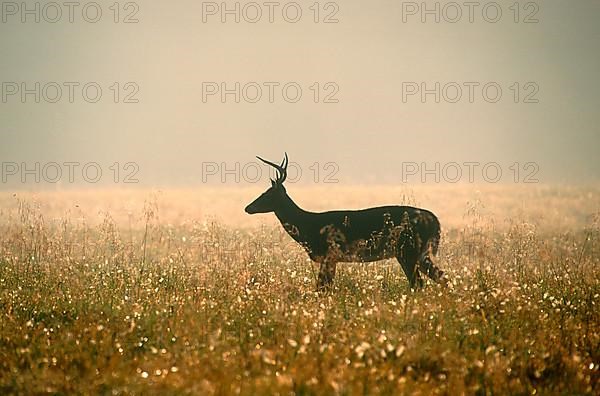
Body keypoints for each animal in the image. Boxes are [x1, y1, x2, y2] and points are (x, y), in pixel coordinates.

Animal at [244, 153, 446, 290]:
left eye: (267, 193)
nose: (248, 208)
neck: (308, 226)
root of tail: (434, 220)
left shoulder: (329, 253)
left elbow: (322, 288)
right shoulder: (332, 258)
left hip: (408, 250)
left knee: (418, 283)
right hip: (418, 253)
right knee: (440, 277)